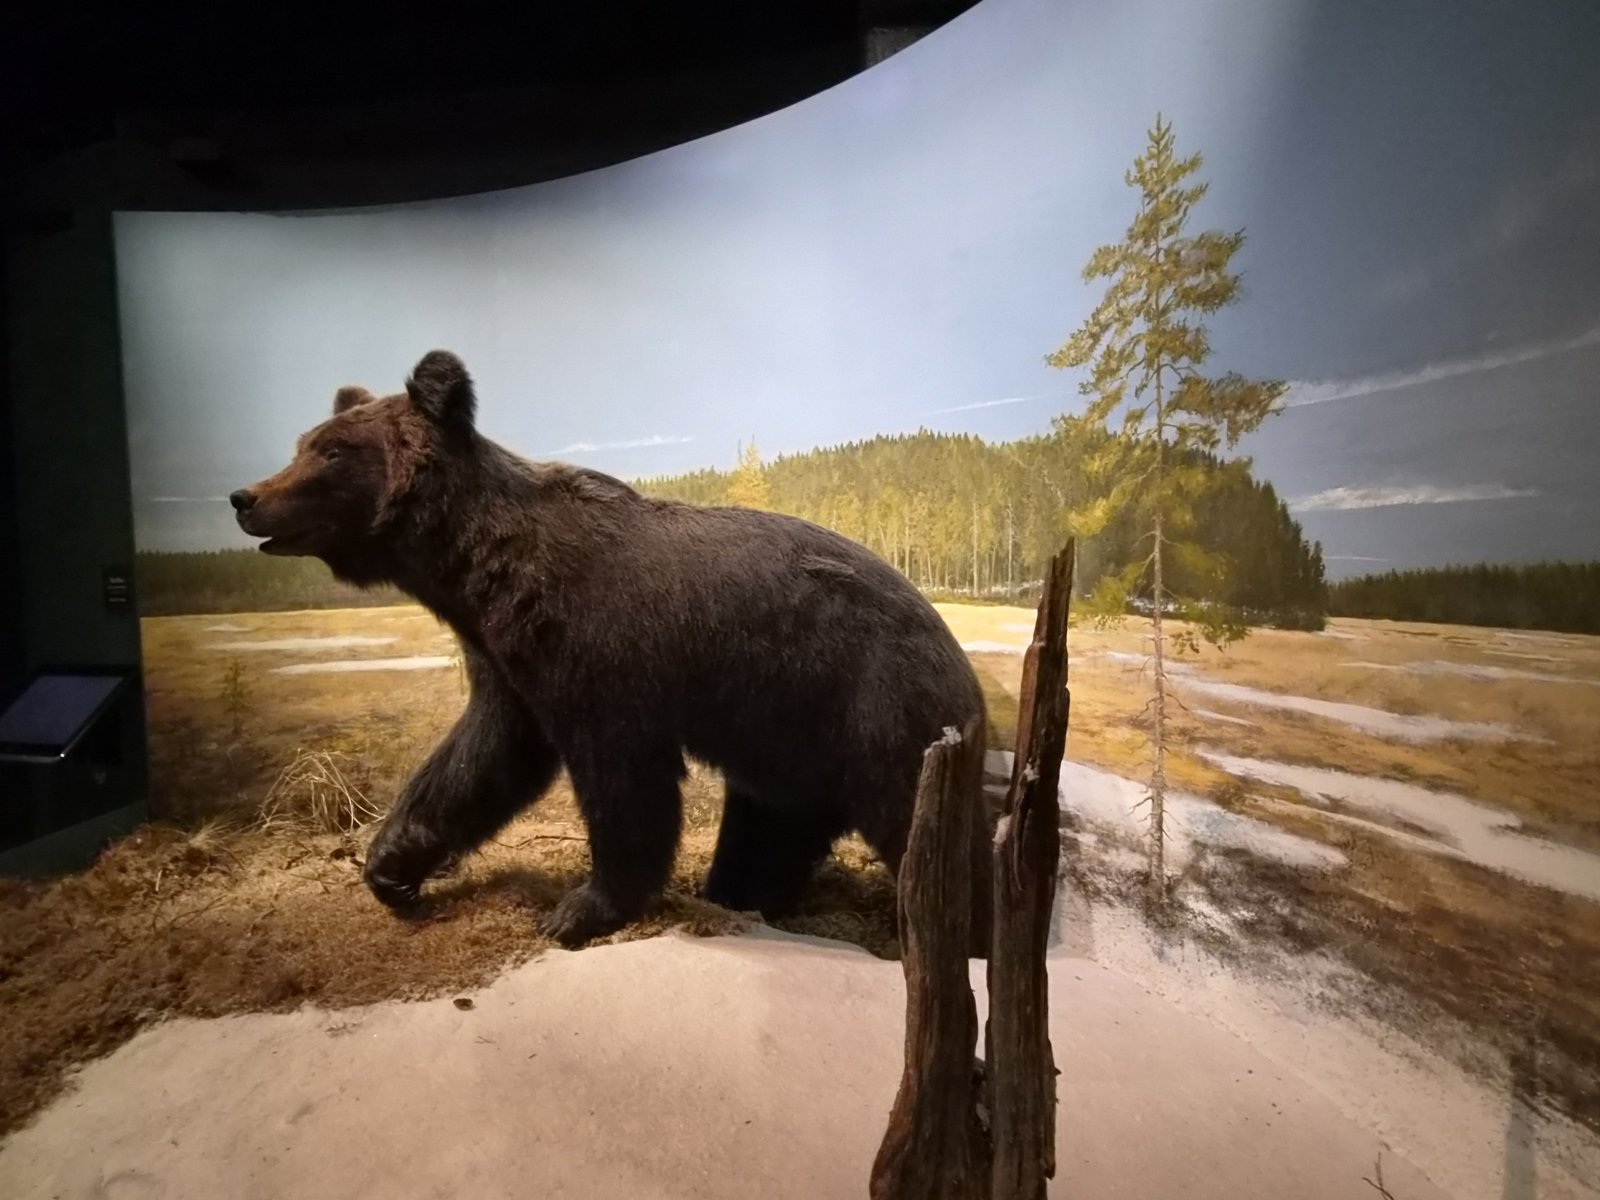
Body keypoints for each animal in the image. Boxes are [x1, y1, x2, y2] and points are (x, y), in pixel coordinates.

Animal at [231, 350, 989, 948]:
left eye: (333, 451)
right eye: (305, 441)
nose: (247, 497)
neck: (484, 570)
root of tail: (952, 646)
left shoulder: (600, 648)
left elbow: (620, 774)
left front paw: (582, 908)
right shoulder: (507, 657)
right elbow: (482, 758)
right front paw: (391, 866)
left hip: (880, 708)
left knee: (924, 829)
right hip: (789, 742)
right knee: (767, 836)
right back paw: (740, 894)